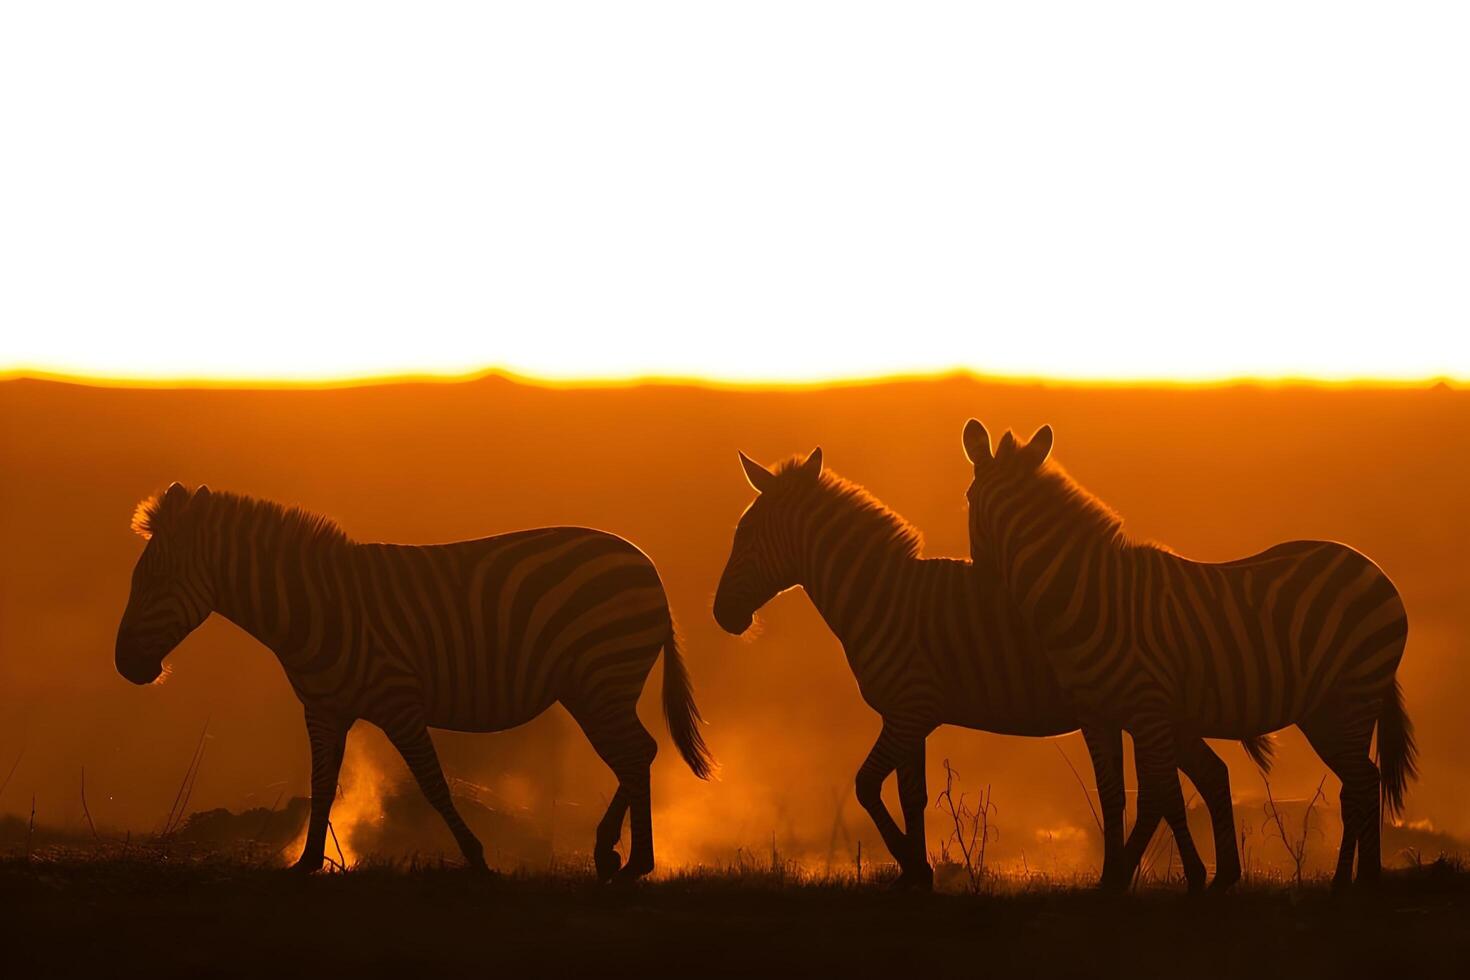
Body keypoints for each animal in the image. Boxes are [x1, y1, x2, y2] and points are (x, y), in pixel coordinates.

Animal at [114, 484, 711, 881]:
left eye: (155, 580)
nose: (124, 666)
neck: (314, 609)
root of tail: (644, 563)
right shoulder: (324, 710)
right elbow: (322, 786)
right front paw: (306, 864)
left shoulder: (398, 701)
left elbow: (432, 782)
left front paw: (476, 858)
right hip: (592, 685)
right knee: (638, 753)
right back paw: (616, 854)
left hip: (601, 677)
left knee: (634, 753)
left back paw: (632, 862)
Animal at [708, 449, 1264, 893]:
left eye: (746, 533)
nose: (721, 616)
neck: (882, 595)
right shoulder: (909, 716)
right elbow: (912, 795)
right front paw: (916, 875)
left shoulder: (910, 709)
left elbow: (867, 786)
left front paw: (915, 869)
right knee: (1208, 774)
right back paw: (1213, 876)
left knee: (1177, 783)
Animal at [964, 417, 1411, 893]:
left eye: (967, 499)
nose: (983, 581)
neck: (1091, 594)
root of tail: (1371, 567)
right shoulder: (1097, 715)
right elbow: (1113, 796)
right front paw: (1110, 880)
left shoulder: (1148, 711)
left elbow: (1157, 795)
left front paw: (1159, 875)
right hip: (1326, 710)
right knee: (1360, 783)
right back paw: (1356, 880)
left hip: (1350, 697)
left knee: (1361, 783)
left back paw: (1356, 881)